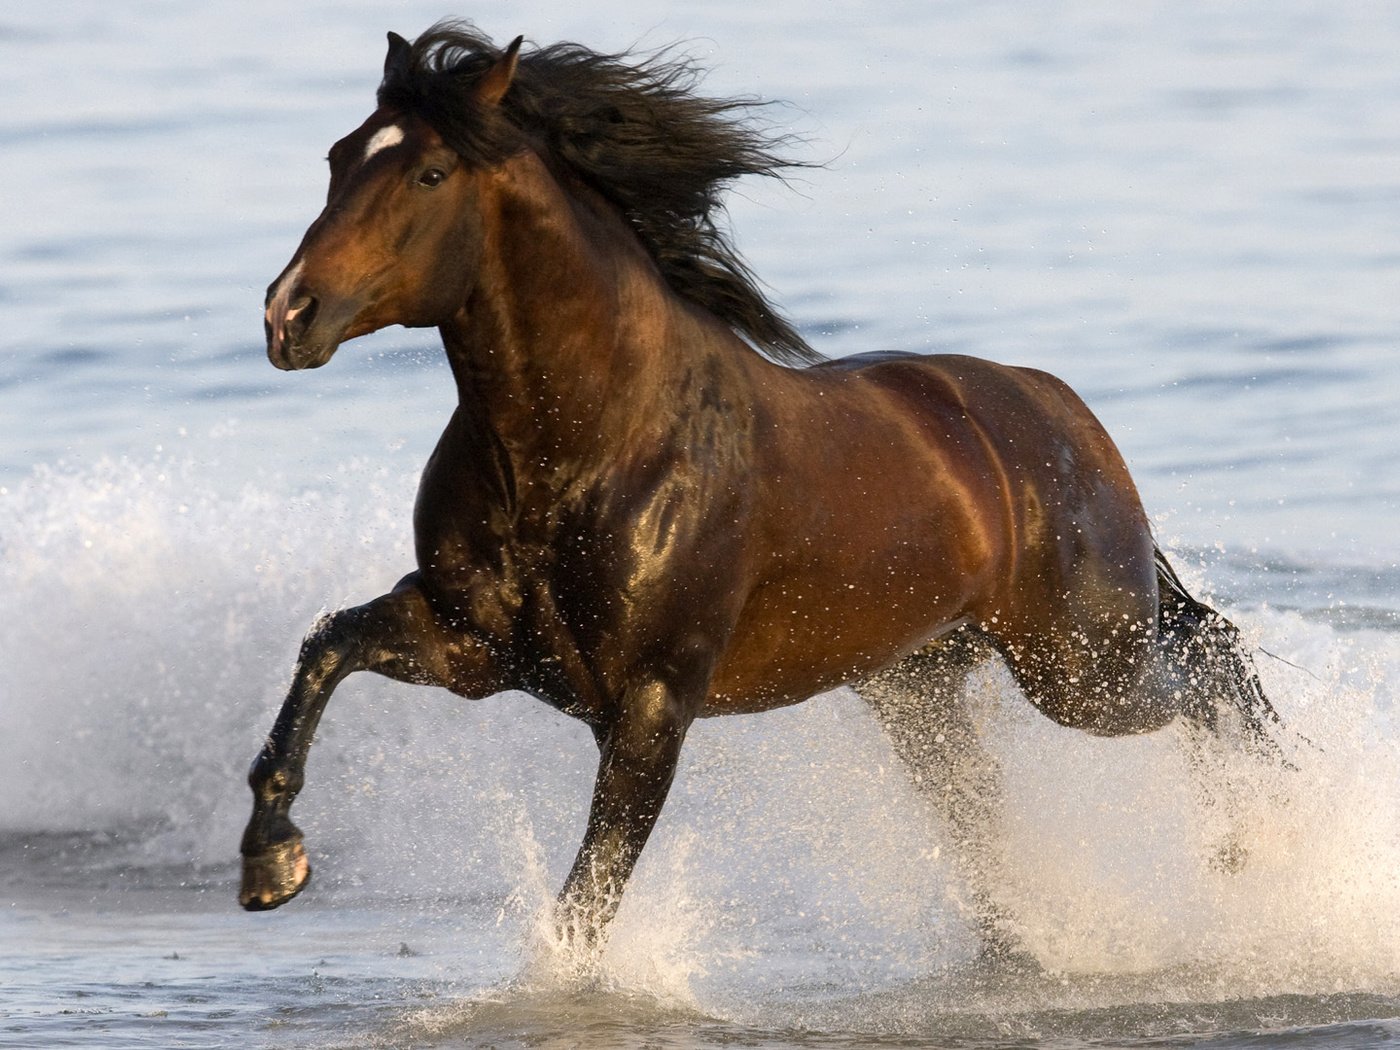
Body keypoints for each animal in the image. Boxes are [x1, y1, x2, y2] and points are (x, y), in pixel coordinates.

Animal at [240, 22, 1282, 952]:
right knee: (992, 805)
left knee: (1214, 670)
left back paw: (1251, 850)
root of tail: (1058, 408)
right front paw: (271, 863)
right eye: (338, 158)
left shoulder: (654, 702)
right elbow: (328, 646)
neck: (590, 448)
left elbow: (589, 900)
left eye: (428, 175)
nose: (289, 316)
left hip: (1081, 665)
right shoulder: (474, 648)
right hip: (921, 687)